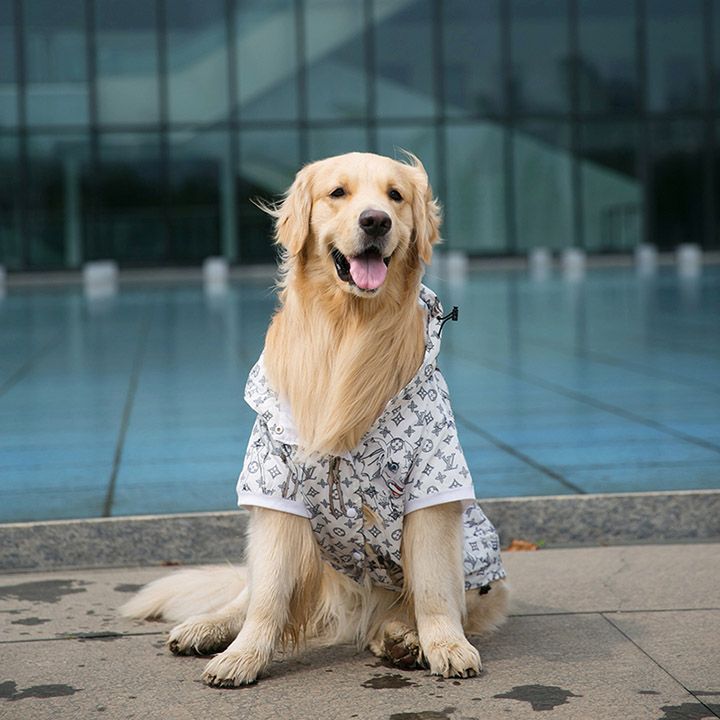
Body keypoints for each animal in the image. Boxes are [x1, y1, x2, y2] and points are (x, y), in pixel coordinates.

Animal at [121, 150, 510, 688]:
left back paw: (400, 637)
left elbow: (435, 588)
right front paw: (244, 657)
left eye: (395, 196)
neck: (349, 331)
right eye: (338, 193)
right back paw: (207, 627)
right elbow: (267, 600)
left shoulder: (433, 487)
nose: (375, 221)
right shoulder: (275, 489)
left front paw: (446, 646)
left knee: (411, 604)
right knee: (249, 593)